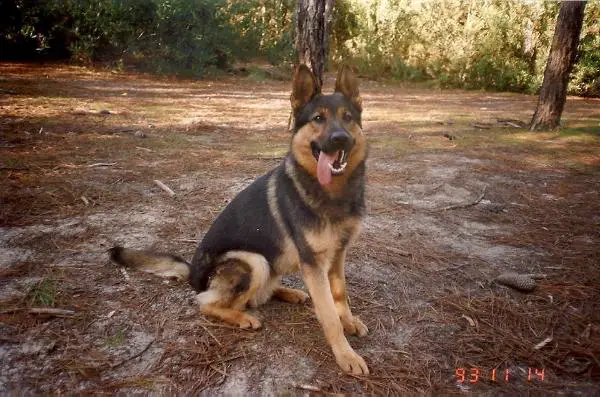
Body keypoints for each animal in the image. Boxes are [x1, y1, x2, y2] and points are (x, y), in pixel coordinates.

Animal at [109, 65, 368, 374]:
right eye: (318, 118)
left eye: (348, 117)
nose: (340, 138)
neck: (333, 192)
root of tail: (193, 274)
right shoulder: (313, 263)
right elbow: (328, 314)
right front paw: (346, 355)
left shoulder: (338, 256)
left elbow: (341, 295)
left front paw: (349, 322)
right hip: (253, 261)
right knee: (208, 302)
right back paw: (242, 317)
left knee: (262, 292)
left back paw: (289, 292)